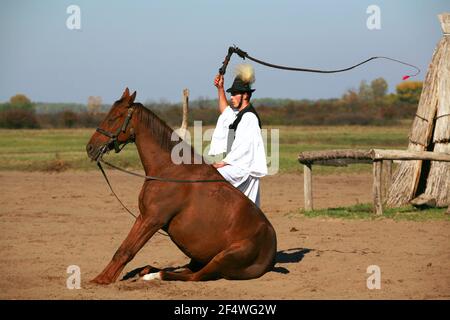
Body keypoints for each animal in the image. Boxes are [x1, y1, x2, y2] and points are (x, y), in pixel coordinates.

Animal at [85, 88, 276, 284]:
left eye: (114, 117)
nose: (90, 147)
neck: (169, 170)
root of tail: (271, 252)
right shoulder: (143, 216)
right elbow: (123, 249)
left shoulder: (152, 219)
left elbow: (126, 251)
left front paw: (102, 279)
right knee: (188, 270)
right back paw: (149, 270)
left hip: (224, 257)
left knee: (194, 276)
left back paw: (154, 275)